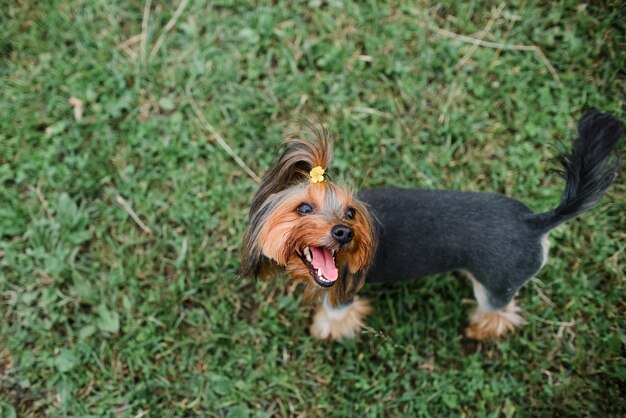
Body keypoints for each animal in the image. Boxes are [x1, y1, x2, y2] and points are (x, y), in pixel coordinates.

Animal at [239, 112, 620, 342]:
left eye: (350, 213)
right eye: (303, 208)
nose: (343, 233)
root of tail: (534, 222)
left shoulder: (342, 293)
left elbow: (335, 315)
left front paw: (324, 330)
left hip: (498, 284)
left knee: (500, 311)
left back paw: (480, 330)